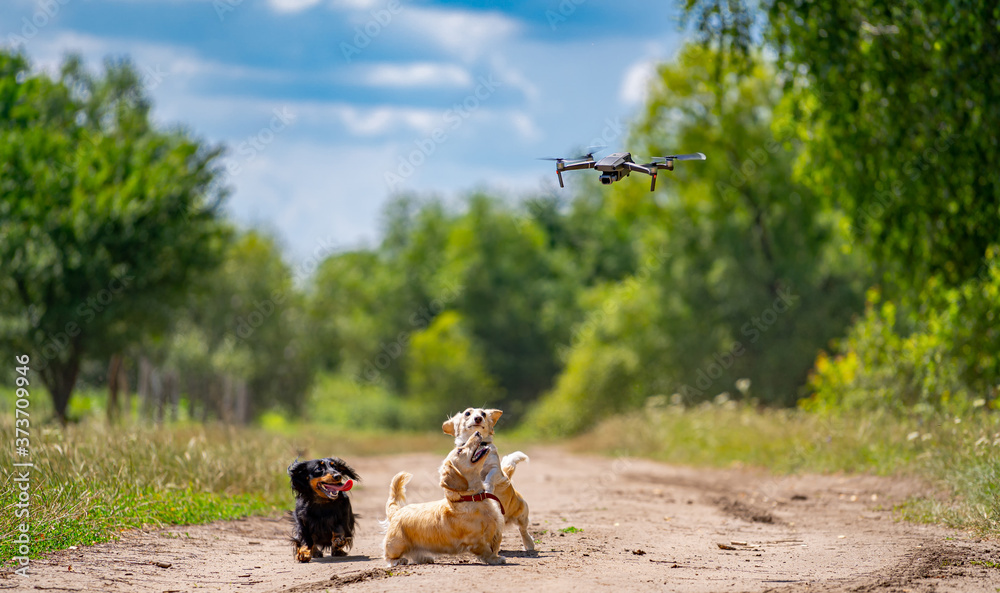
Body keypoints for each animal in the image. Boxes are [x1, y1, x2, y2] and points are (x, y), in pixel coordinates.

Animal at [382, 432, 508, 568]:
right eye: (460, 450)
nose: (477, 433)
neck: (471, 498)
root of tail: (397, 512)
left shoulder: (495, 532)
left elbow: (495, 547)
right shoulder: (475, 540)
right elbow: (486, 551)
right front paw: (495, 559)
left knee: (415, 554)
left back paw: (425, 558)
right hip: (396, 544)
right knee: (388, 556)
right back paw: (398, 561)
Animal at [444, 408, 536, 552]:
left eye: (483, 413)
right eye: (467, 413)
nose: (478, 418)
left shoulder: (496, 469)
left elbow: (489, 477)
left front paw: (487, 488)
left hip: (522, 513)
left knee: (523, 530)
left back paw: (529, 544)